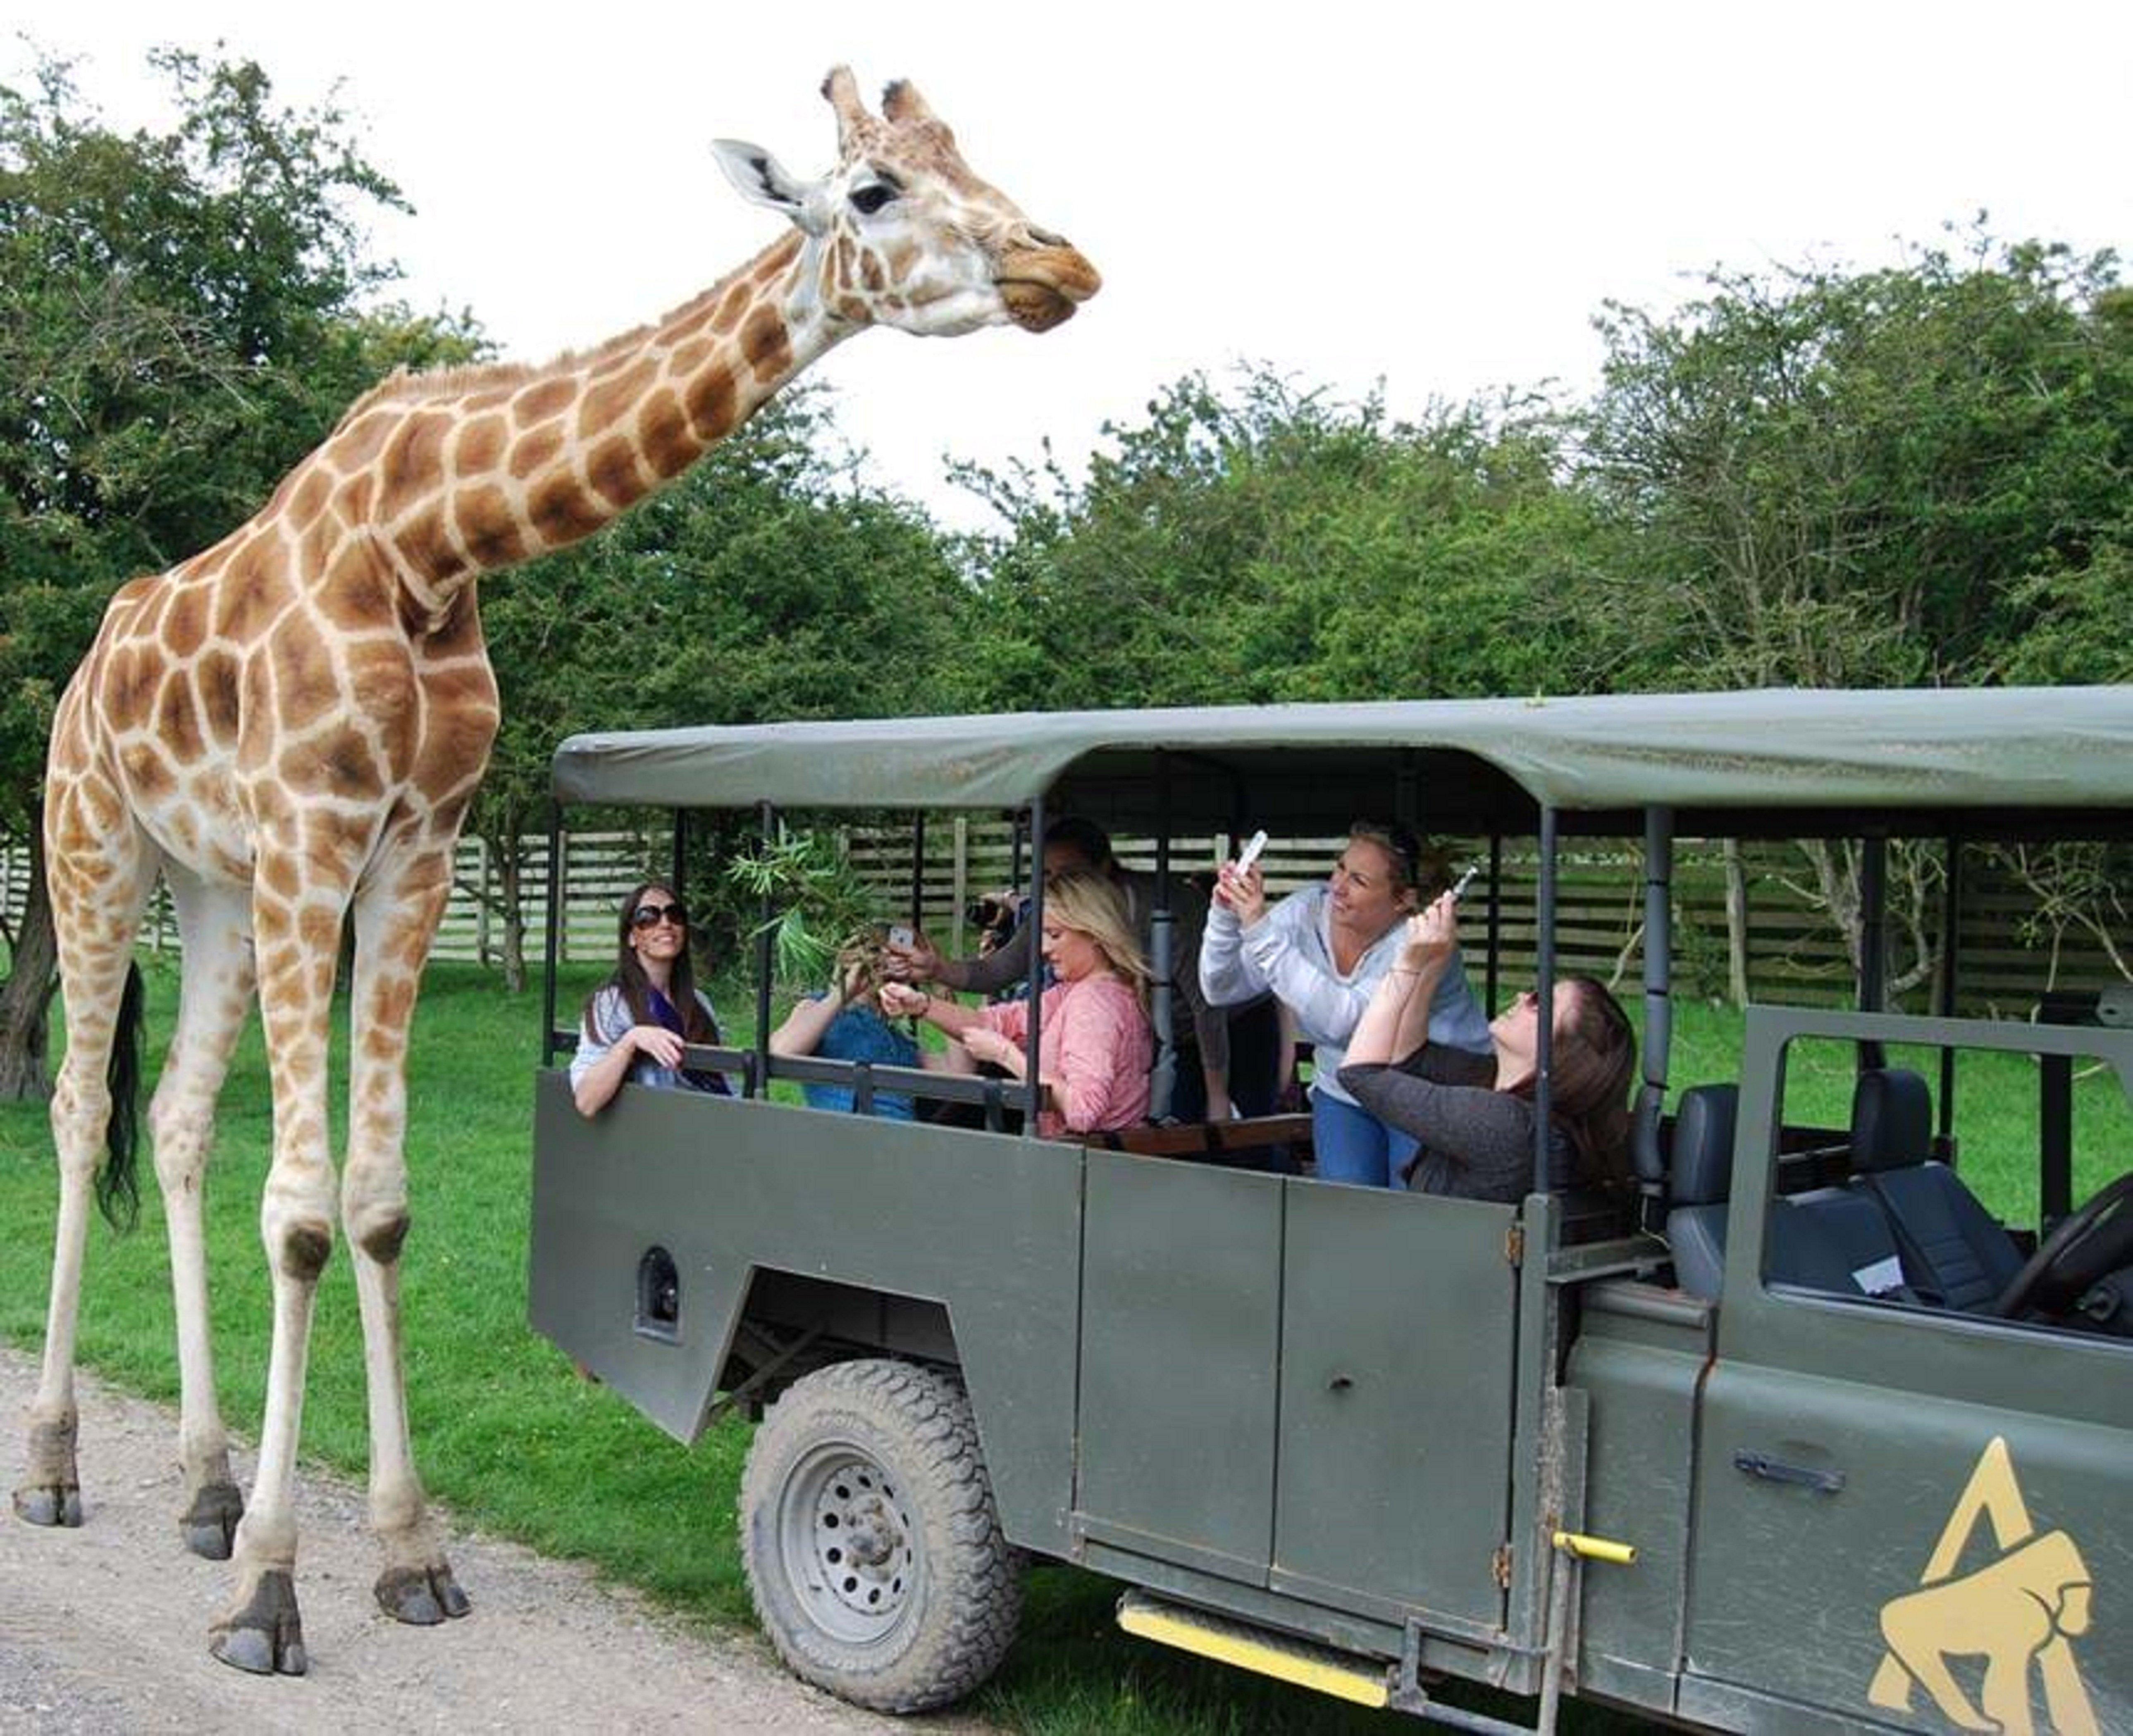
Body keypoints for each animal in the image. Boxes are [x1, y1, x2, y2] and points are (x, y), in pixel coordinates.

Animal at [17, 71, 1109, 1689]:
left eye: (975, 154)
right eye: (873, 192)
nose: (1061, 265)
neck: (428, 536)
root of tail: (91, 661)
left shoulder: (417, 845)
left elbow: (376, 1203)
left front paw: (406, 1554)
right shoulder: (315, 831)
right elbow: (304, 1212)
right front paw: (273, 1595)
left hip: (210, 888)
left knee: (172, 1121)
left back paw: (205, 1488)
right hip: (94, 841)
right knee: (79, 1109)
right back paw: (57, 1464)